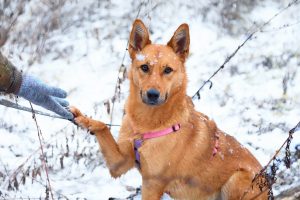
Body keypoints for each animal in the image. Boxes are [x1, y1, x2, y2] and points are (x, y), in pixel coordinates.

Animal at [71, 19, 268, 200]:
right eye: (144, 67)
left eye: (167, 70)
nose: (152, 94)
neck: (146, 124)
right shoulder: (119, 164)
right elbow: (103, 126)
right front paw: (82, 118)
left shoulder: (152, 183)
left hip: (236, 180)